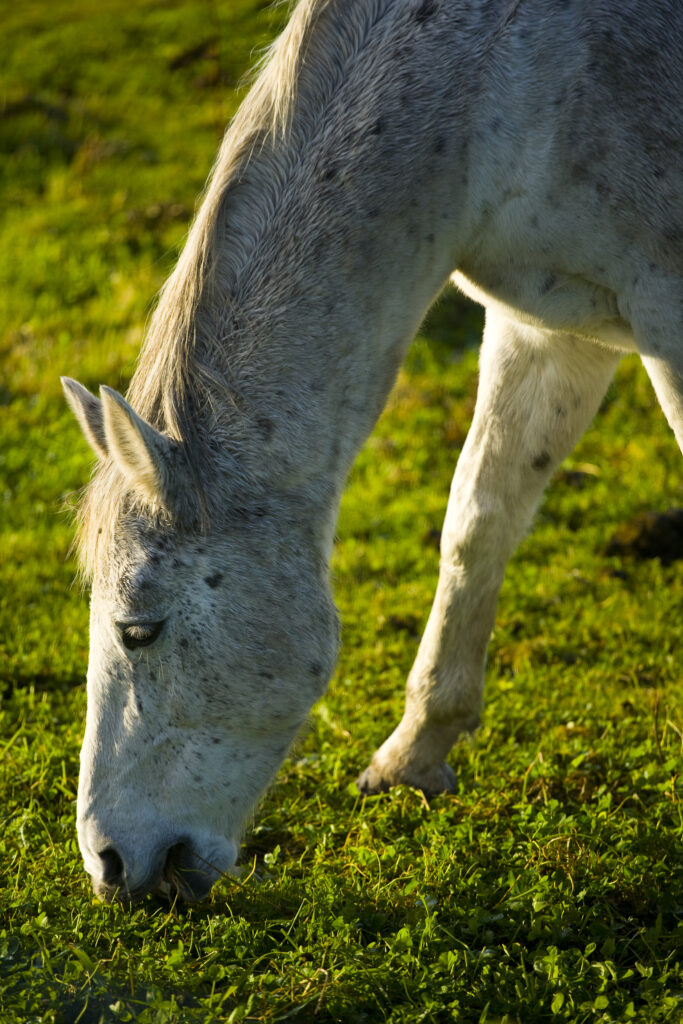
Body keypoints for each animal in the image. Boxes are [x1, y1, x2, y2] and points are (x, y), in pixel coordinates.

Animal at [62, 0, 682, 902]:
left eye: (137, 630)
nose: (109, 864)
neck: (503, 76)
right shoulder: (545, 326)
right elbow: (476, 521)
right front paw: (414, 754)